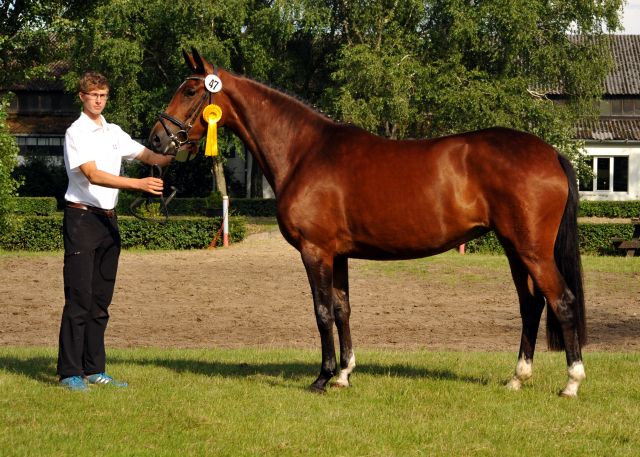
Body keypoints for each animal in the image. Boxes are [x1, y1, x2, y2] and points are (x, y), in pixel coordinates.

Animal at [148, 49, 588, 396]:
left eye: (191, 91)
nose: (156, 139)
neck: (305, 151)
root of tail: (550, 153)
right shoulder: (337, 254)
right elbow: (343, 308)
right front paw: (344, 374)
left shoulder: (315, 250)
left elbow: (322, 310)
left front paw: (322, 378)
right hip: (515, 248)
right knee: (531, 305)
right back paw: (517, 378)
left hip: (532, 249)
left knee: (562, 301)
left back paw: (571, 382)